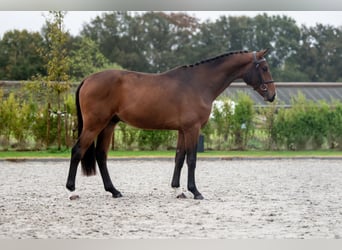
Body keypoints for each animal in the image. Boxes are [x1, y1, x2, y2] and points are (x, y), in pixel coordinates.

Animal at [66, 49, 276, 200]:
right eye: (264, 68)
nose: (272, 95)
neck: (198, 84)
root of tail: (87, 79)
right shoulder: (193, 129)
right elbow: (191, 159)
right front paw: (195, 191)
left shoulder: (183, 130)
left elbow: (179, 158)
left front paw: (178, 190)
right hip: (94, 125)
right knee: (77, 150)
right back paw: (72, 190)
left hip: (108, 125)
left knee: (101, 156)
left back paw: (114, 191)